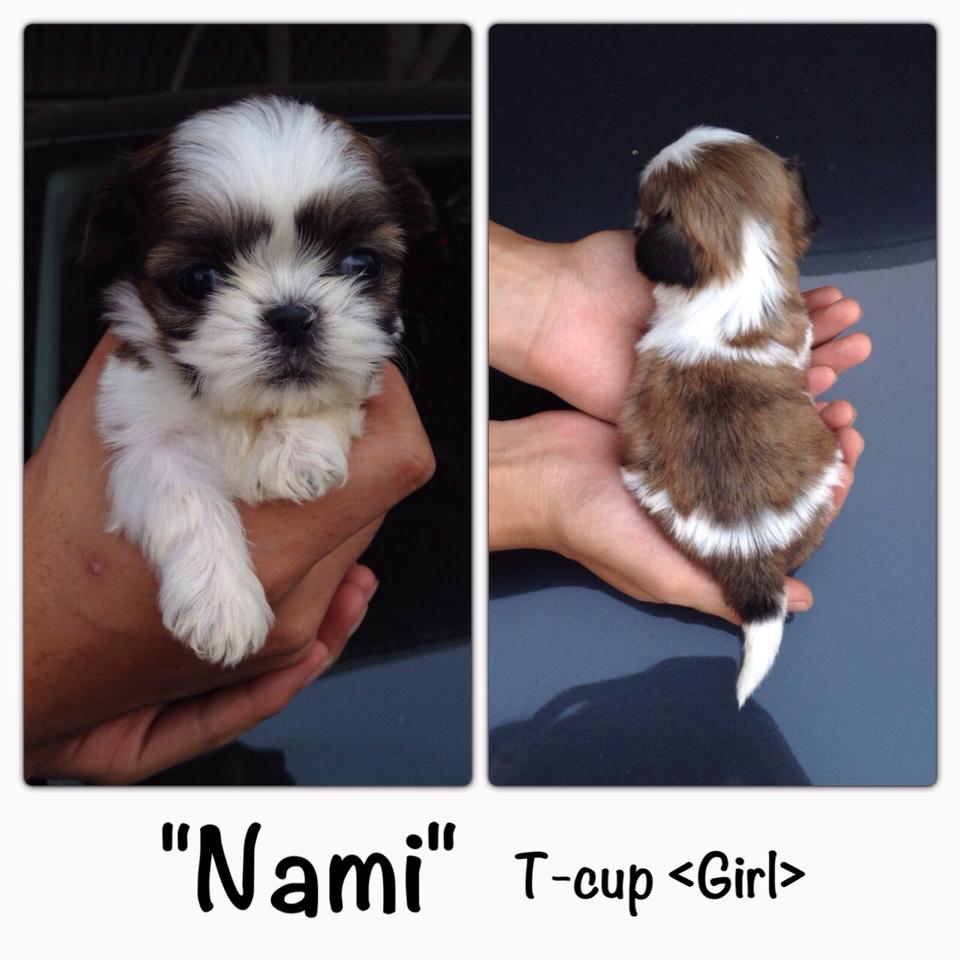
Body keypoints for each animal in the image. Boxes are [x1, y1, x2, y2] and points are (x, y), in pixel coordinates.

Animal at [80, 95, 434, 666]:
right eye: (198, 279)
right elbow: (182, 491)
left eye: (360, 263)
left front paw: (296, 452)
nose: (292, 316)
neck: (239, 409)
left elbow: (331, 394)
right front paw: (220, 606)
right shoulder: (136, 426)